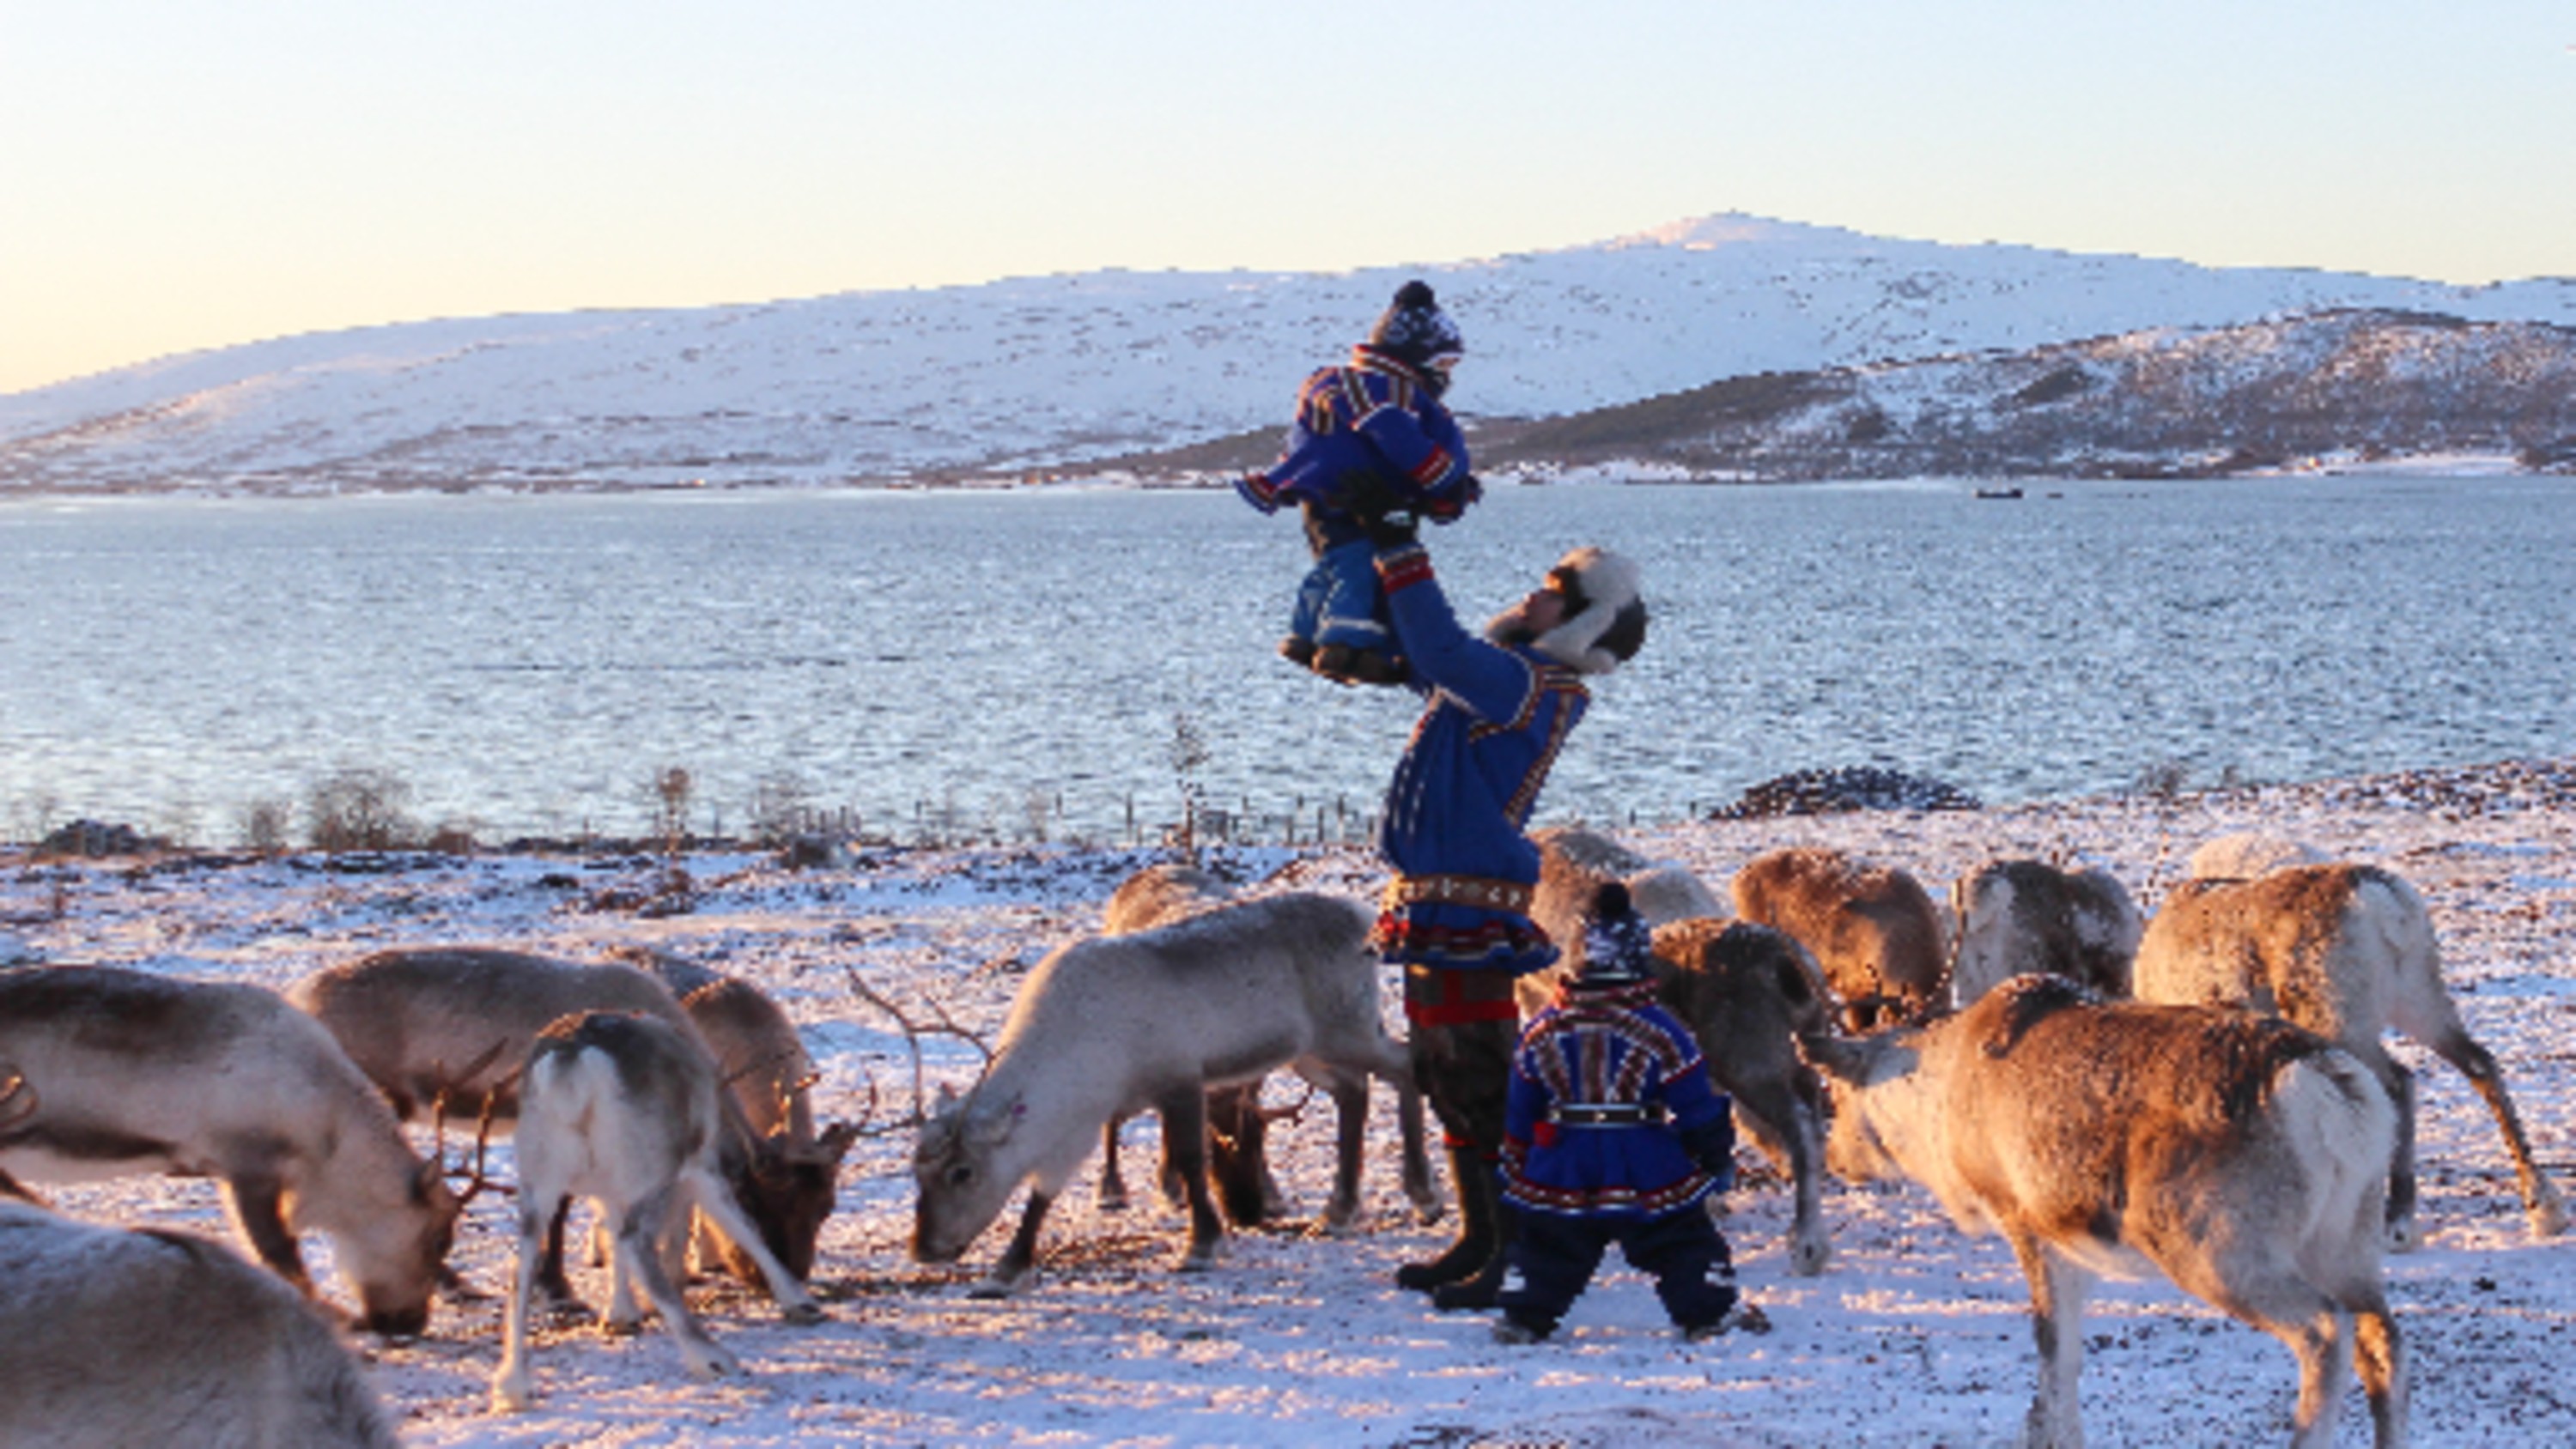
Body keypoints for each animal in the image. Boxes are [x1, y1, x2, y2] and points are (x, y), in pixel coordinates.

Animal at [490, 1010, 827, 1413]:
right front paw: (800, 1302)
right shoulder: (701, 1164)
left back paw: (513, 1385)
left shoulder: (609, 1187)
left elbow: (609, 1233)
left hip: (538, 1178)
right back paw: (713, 1358)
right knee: (636, 1241)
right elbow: (741, 1227)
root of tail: (573, 1065)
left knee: (523, 1261)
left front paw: (621, 1315)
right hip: (654, 1173)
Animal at [909, 890, 1419, 1295]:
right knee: (1355, 1090)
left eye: (962, 1172)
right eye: (918, 1172)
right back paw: (1339, 1213)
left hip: (1347, 1030)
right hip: (1309, 1051)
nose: (923, 1247)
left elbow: (1193, 1161)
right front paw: (1006, 1272)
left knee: (1404, 1065)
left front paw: (1203, 1245)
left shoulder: (1180, 1079)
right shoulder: (1084, 1119)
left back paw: (1424, 1195)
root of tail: (1362, 916)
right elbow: (1044, 1191)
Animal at [1806, 974, 2406, 1449]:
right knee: (2382, 1339)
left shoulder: (2026, 1219)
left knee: (2324, 1330)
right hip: (2346, 1236)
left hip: (2215, 1245)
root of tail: (2336, 1092)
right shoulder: (2078, 1246)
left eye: (1836, 1092)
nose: (1833, 1157)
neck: (1937, 1102)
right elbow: (2069, 1354)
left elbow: (2052, 1348)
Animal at [2135, 846, 2568, 1246]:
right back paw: (2543, 1207)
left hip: (2337, 1015)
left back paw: (2396, 1221)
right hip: (2420, 996)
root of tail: (2385, 903)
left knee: (2393, 1082)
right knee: (2477, 1064)